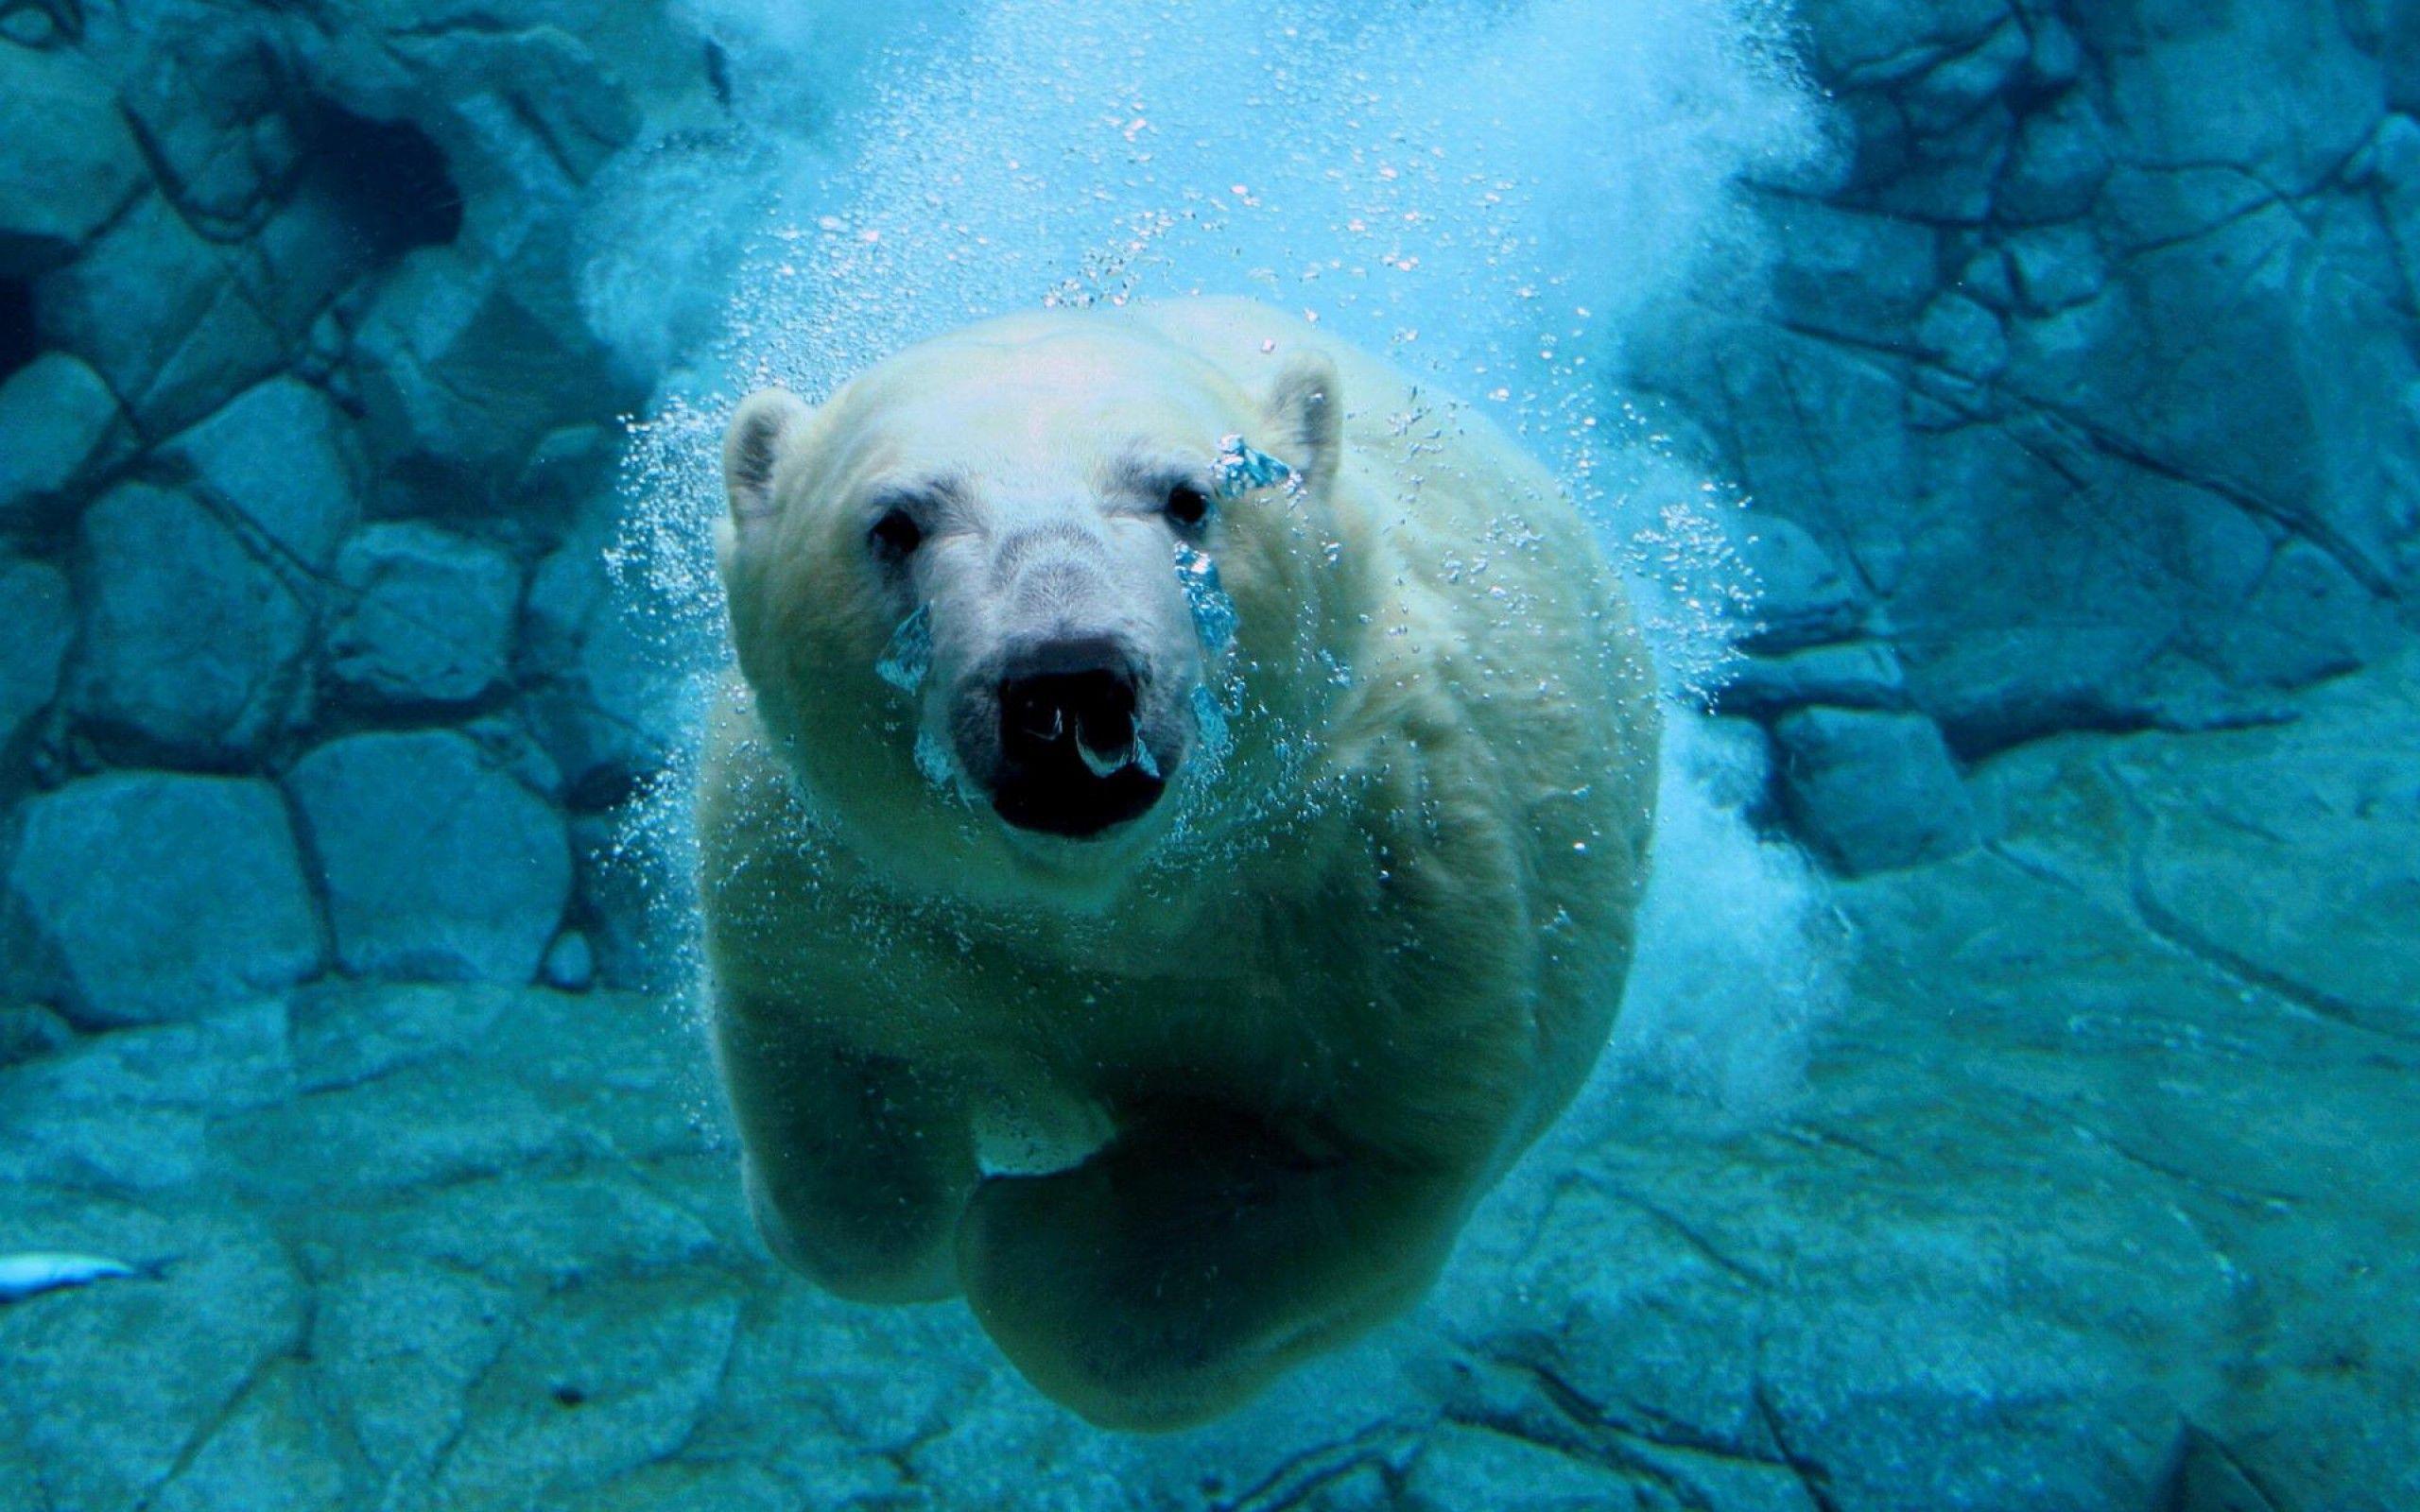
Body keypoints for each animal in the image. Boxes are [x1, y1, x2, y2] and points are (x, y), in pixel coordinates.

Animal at [701, 296, 1660, 1431]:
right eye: (894, 523)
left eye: (1190, 497)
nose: (1065, 681)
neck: (1107, 902)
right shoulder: (838, 878)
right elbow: (838, 1095)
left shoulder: (1385, 892)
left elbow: (1346, 1161)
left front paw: (1023, 1230)